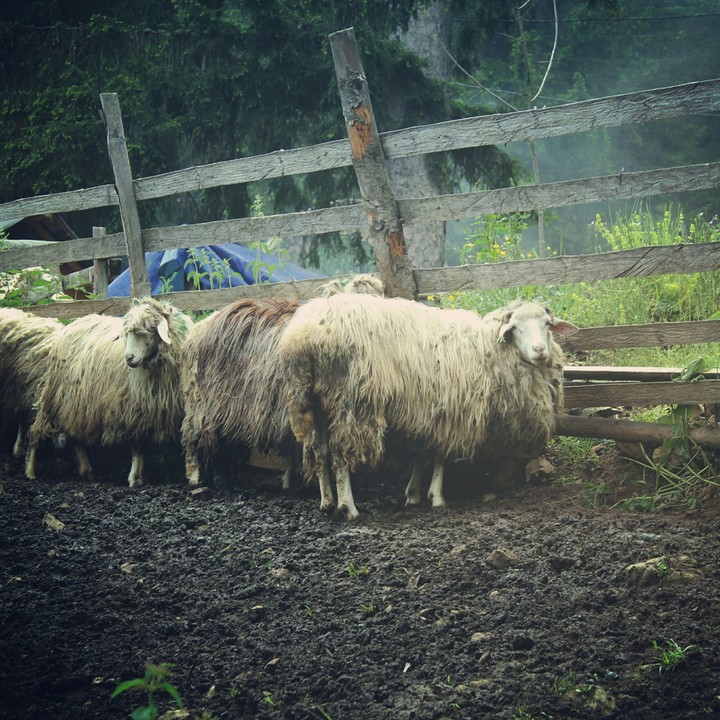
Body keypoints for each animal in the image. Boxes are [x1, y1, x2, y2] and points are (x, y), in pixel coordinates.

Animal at [25, 297, 193, 486]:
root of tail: (71, 325)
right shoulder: (134, 409)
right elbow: (138, 446)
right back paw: (30, 471)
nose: (129, 358)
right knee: (36, 431)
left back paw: (86, 470)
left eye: (149, 329)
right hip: (54, 397)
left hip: (76, 404)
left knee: (76, 436)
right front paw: (134, 478)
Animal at [277, 295, 577, 519]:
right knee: (341, 454)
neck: (487, 349)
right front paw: (436, 497)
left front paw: (413, 494)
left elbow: (422, 454)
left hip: (315, 404)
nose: (540, 351)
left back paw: (327, 502)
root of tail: (302, 338)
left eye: (547, 324)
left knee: (320, 452)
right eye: (514, 328)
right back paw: (347, 507)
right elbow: (439, 456)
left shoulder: (426, 413)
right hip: (350, 400)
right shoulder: (452, 411)